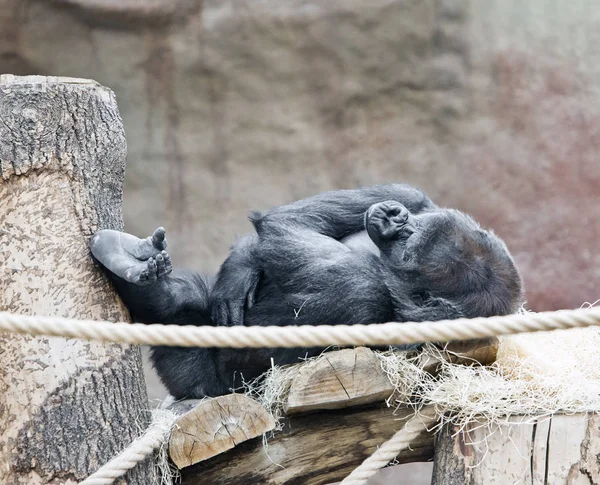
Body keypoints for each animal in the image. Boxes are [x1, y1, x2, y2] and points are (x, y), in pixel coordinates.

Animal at [90, 183, 524, 398]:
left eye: (408, 247)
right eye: (411, 229)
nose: (397, 222)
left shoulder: (366, 293)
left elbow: (284, 228)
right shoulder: (428, 205)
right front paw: (239, 271)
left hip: (196, 384)